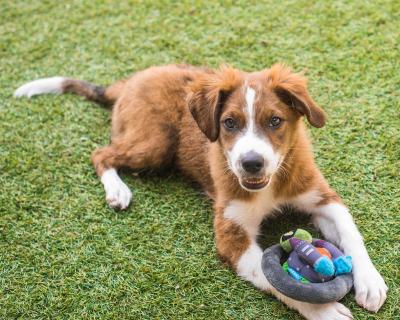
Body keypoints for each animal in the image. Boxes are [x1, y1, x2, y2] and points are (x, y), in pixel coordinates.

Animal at [15, 63, 388, 318]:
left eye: (275, 121)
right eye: (229, 123)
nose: (251, 163)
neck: (272, 186)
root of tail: (131, 81)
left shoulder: (320, 195)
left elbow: (351, 233)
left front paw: (370, 281)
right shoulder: (231, 236)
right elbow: (271, 276)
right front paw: (323, 311)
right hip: (155, 142)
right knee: (101, 154)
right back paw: (117, 191)